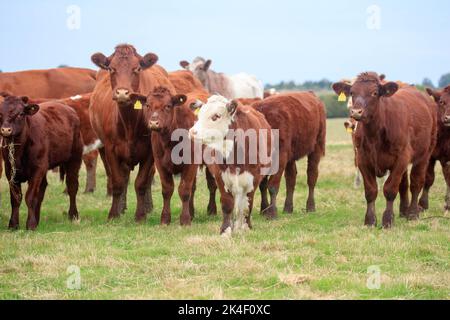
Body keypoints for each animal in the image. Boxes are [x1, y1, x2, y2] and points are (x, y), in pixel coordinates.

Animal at [0, 92, 82, 230]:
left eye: (20, 114)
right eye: (0, 113)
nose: (6, 130)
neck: (19, 151)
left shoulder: (37, 169)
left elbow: (30, 196)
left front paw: (30, 225)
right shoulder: (9, 170)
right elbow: (16, 198)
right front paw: (13, 224)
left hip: (74, 159)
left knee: (72, 186)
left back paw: (73, 215)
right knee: (43, 189)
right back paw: (37, 219)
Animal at [89, 43, 176, 221]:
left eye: (136, 69)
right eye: (111, 68)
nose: (123, 93)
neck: (129, 122)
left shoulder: (150, 151)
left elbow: (141, 182)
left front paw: (140, 214)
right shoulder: (110, 149)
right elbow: (117, 181)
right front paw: (113, 214)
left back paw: (148, 207)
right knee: (123, 177)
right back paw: (122, 207)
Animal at [188, 94, 272, 234]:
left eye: (216, 116)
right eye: (199, 115)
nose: (192, 132)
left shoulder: (253, 179)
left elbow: (247, 205)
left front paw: (245, 227)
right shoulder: (220, 176)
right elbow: (227, 204)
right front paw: (226, 230)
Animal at [332, 72, 438, 228]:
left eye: (375, 93)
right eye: (352, 93)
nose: (356, 112)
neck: (375, 134)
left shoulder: (401, 158)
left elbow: (390, 189)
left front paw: (388, 220)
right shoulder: (363, 159)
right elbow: (371, 191)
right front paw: (370, 220)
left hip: (424, 154)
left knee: (416, 183)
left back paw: (413, 213)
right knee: (404, 184)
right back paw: (403, 211)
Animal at [418, 86, 450, 214]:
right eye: (441, 102)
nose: (448, 118)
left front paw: (448, 206)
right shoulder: (429, 156)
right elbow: (429, 178)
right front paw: (422, 204)